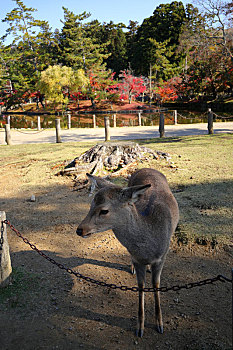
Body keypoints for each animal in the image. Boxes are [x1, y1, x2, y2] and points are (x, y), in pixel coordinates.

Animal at [76, 168, 178, 338]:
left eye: (104, 210)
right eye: (90, 205)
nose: (79, 230)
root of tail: (146, 168)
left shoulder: (162, 257)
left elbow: (156, 285)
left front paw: (160, 324)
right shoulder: (137, 259)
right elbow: (141, 286)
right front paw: (140, 328)